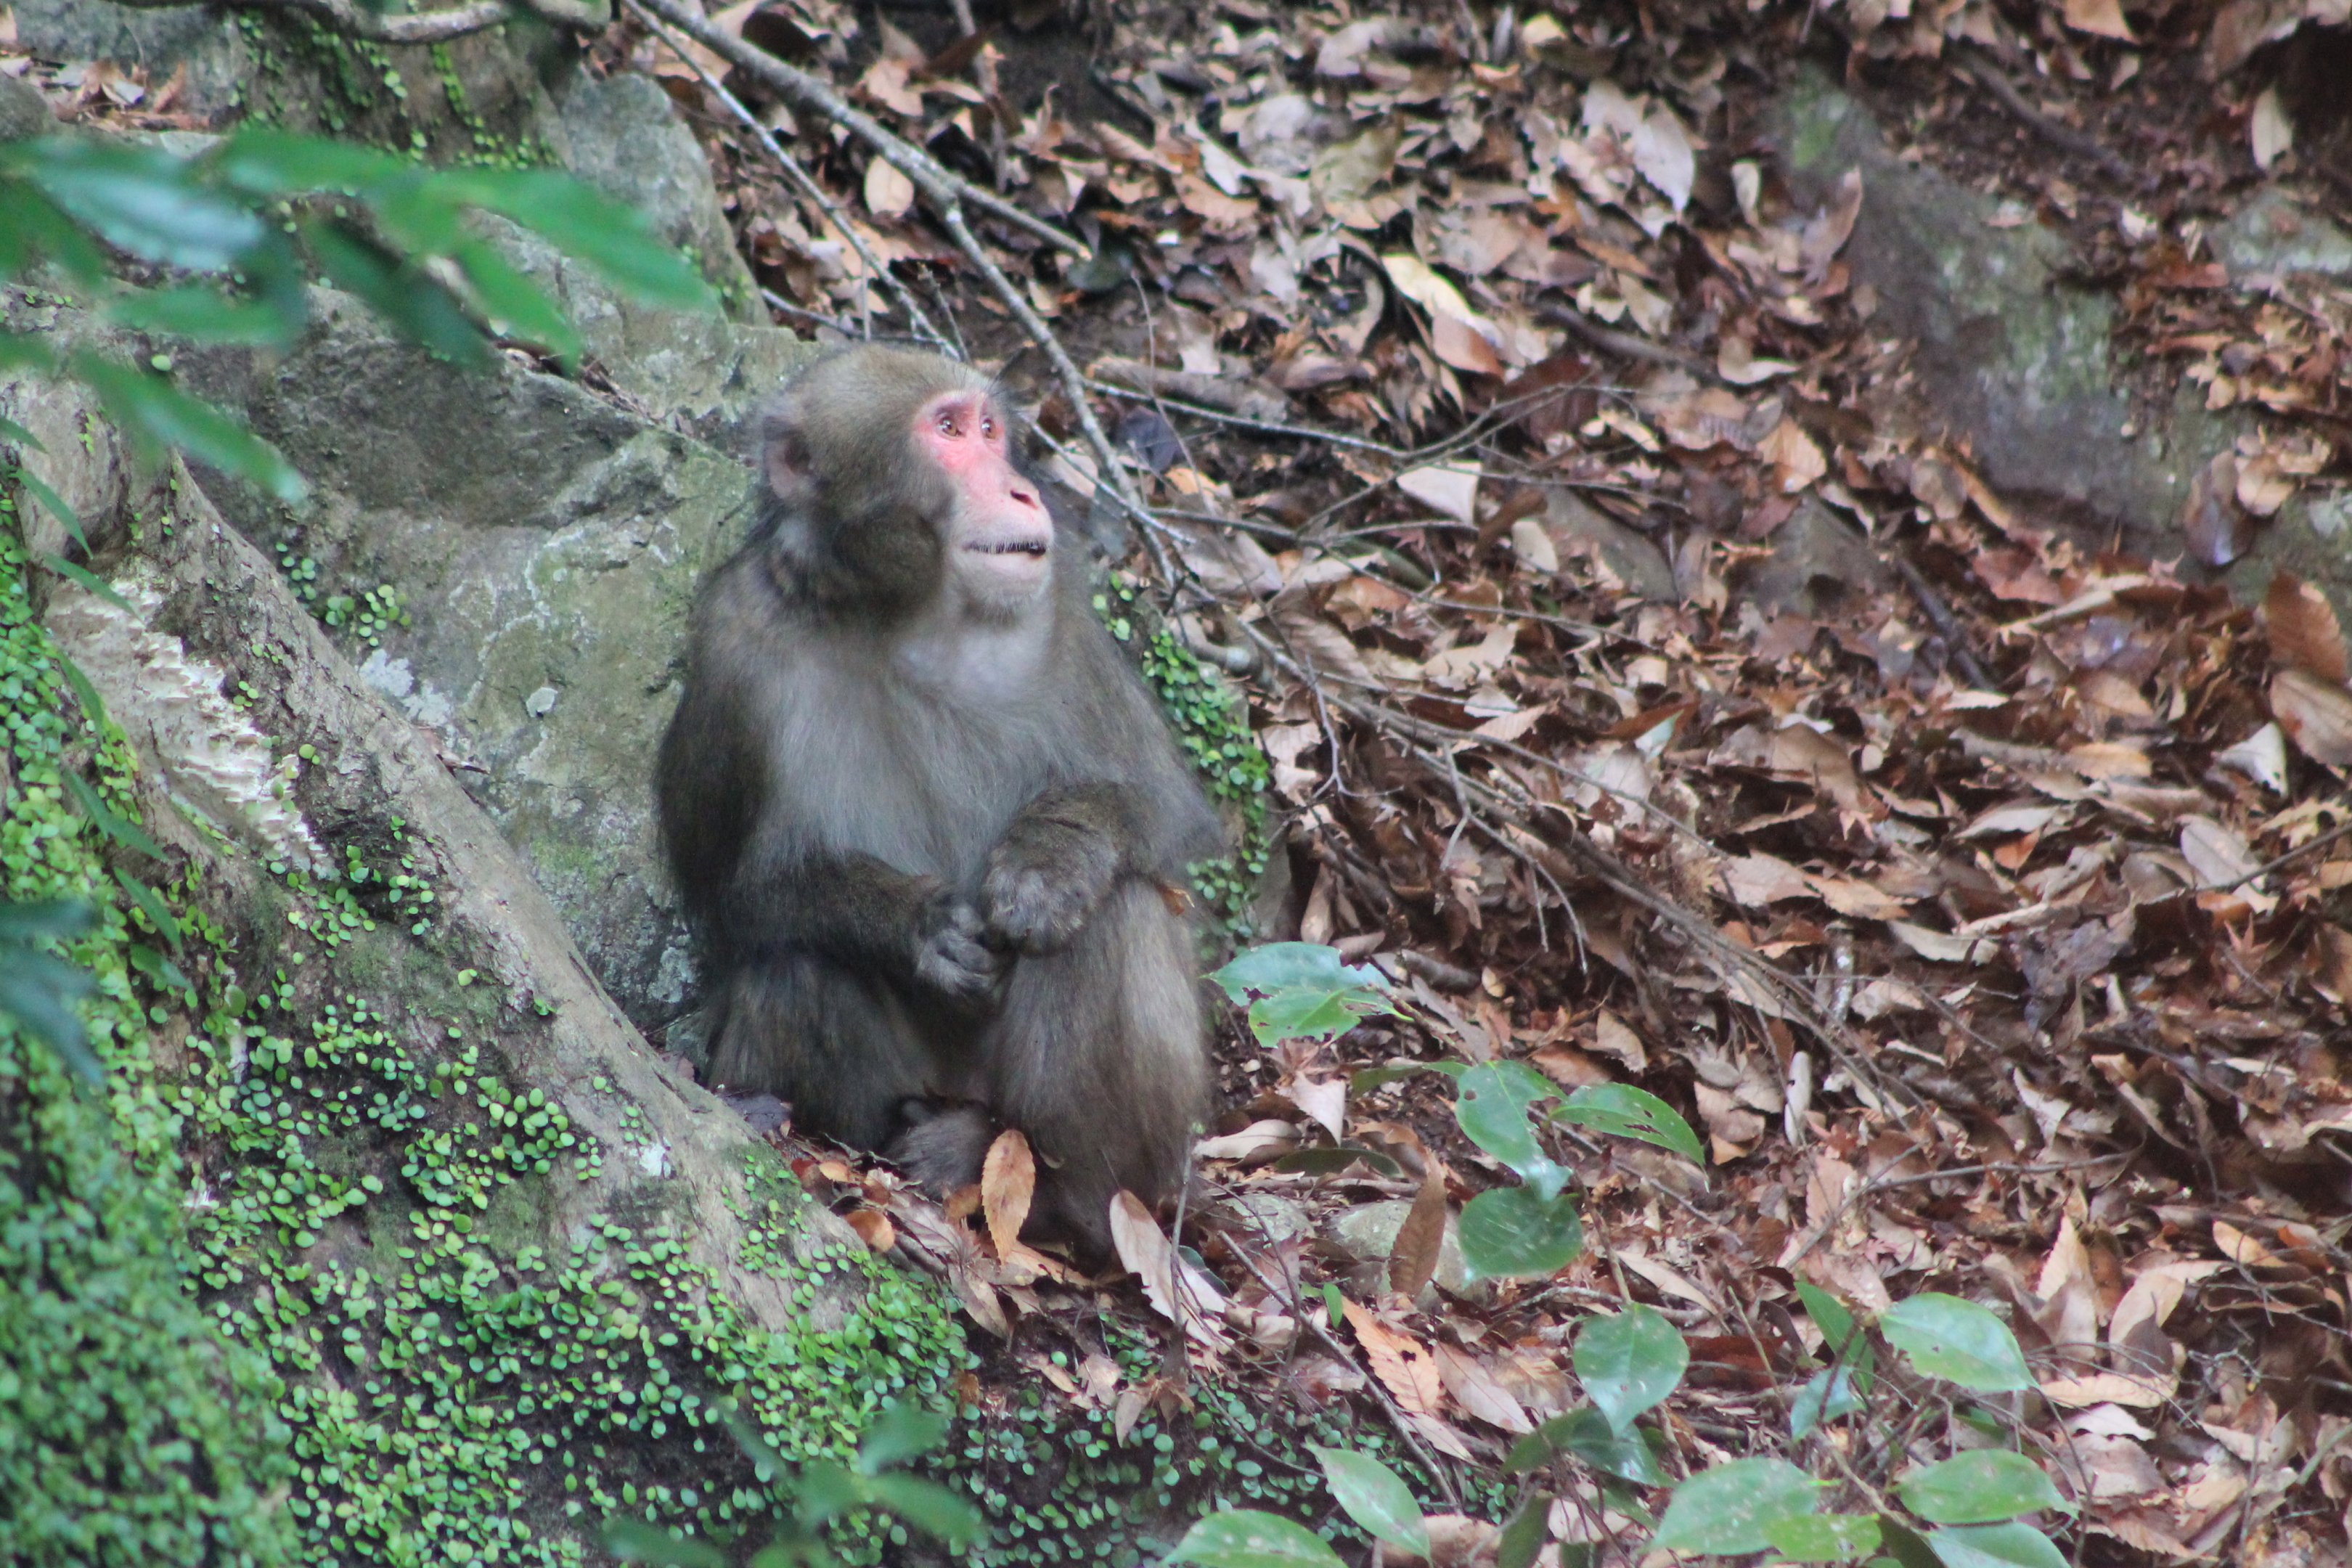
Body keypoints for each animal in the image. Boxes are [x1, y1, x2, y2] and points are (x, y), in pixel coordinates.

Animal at [655, 345, 1222, 1257]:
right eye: (948, 431)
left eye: (989, 429)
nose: (1023, 489)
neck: (904, 614)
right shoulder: (732, 642)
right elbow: (730, 897)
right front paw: (918, 927)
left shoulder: (1062, 609)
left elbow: (1166, 809)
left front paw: (1051, 861)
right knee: (795, 959)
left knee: (1118, 915)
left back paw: (1053, 1193)